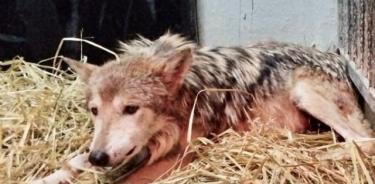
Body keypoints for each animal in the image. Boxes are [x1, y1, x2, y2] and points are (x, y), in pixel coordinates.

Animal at [33, 33, 375, 184]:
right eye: (94, 111)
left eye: (131, 108)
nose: (99, 157)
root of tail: (337, 57)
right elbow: (71, 162)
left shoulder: (184, 155)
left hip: (304, 93)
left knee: (363, 140)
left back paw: (315, 155)